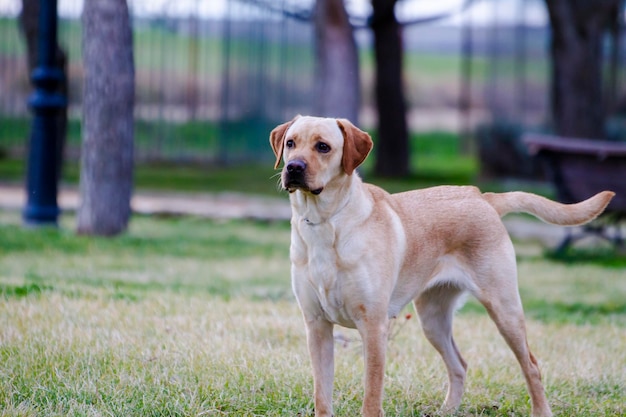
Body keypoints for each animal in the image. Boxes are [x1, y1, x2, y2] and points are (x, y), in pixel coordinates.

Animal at [266, 115, 608, 416]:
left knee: (532, 365)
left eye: (323, 147)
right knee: (460, 364)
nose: (293, 167)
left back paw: (541, 411)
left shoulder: (373, 326)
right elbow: (322, 396)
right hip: (432, 318)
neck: (324, 223)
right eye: (290, 143)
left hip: (504, 309)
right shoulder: (317, 326)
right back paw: (448, 410)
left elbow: (371, 397)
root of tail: (482, 196)